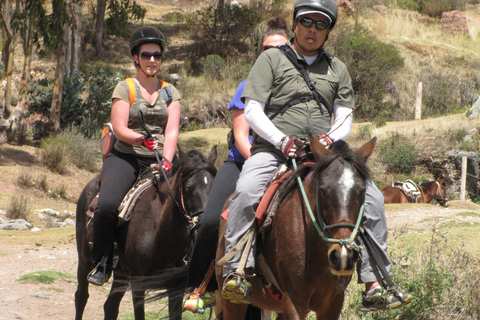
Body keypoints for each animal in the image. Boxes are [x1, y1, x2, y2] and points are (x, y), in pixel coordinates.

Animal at [74, 146, 218, 320]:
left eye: (215, 187)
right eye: (188, 188)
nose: (206, 226)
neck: (161, 232)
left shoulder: (175, 287)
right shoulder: (138, 281)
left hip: (122, 272)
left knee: (110, 306)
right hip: (85, 260)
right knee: (81, 297)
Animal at [216, 136, 376, 320]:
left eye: (362, 191)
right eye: (322, 190)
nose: (343, 256)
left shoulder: (333, 302)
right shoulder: (294, 301)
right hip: (232, 302)